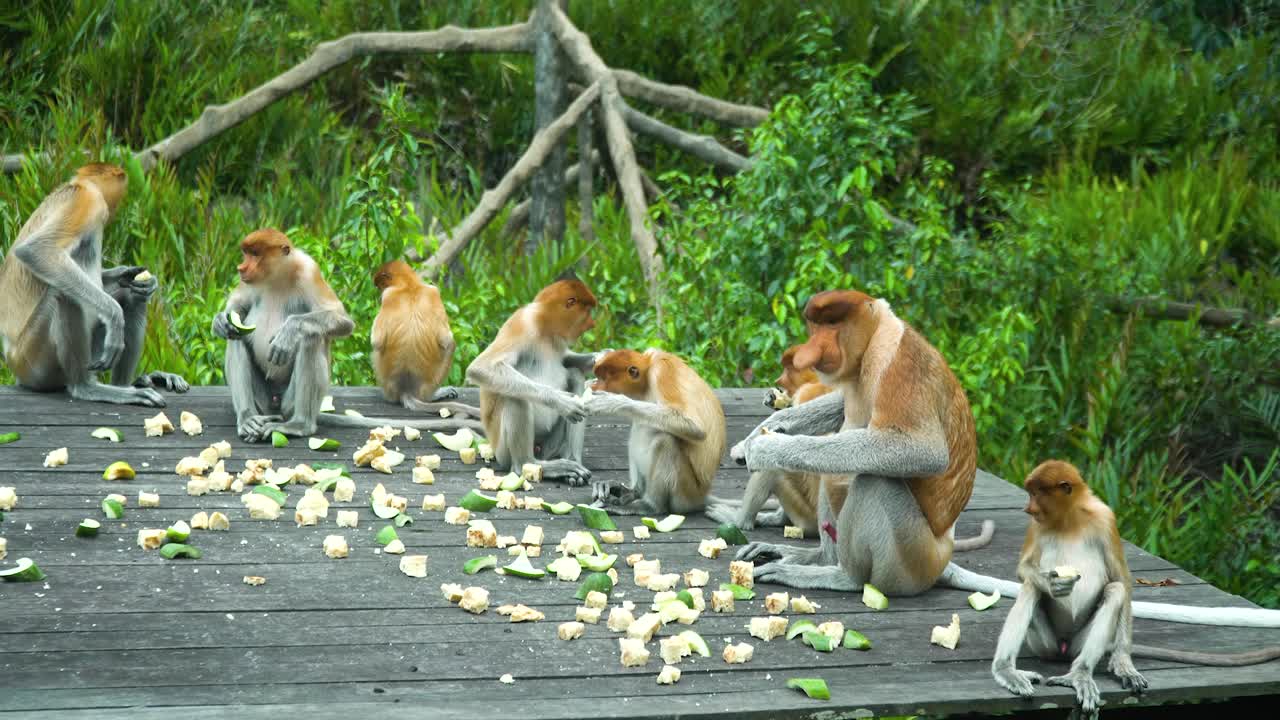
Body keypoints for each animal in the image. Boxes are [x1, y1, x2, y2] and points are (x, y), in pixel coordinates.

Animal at [0, 160, 188, 404]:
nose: (117, 206)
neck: (79, 184)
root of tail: (12, 362)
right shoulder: (88, 200)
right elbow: (36, 251)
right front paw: (115, 316)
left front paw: (135, 278)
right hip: (32, 362)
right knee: (64, 294)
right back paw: (88, 388)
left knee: (132, 298)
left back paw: (129, 383)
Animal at [373, 258, 483, 417]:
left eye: (381, 286)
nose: (378, 295)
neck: (409, 285)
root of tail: (407, 389)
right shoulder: (432, 292)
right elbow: (446, 340)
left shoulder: (391, 295)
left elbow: (376, 342)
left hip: (393, 387)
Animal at [465, 274, 599, 481]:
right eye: (587, 312)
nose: (593, 324)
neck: (545, 327)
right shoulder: (522, 324)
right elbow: (481, 367)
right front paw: (562, 402)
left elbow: (567, 359)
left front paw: (601, 357)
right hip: (503, 451)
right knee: (516, 396)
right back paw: (532, 464)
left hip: (547, 445)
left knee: (575, 376)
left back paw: (572, 460)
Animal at [586, 348, 727, 512]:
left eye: (604, 378)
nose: (594, 387)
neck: (648, 371)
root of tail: (701, 497)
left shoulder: (662, 373)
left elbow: (696, 427)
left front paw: (611, 402)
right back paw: (633, 491)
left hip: (685, 493)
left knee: (664, 440)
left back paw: (649, 505)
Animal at [993, 458, 1280, 712]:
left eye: (1035, 494)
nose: (1028, 509)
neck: (1068, 519)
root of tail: (1063, 649)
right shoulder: (1036, 526)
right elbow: (1025, 569)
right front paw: (1054, 585)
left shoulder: (1106, 519)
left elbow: (1122, 581)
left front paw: (1124, 664)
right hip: (1044, 643)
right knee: (1031, 588)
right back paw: (1007, 670)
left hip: (1077, 643)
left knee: (1114, 591)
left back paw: (1080, 674)